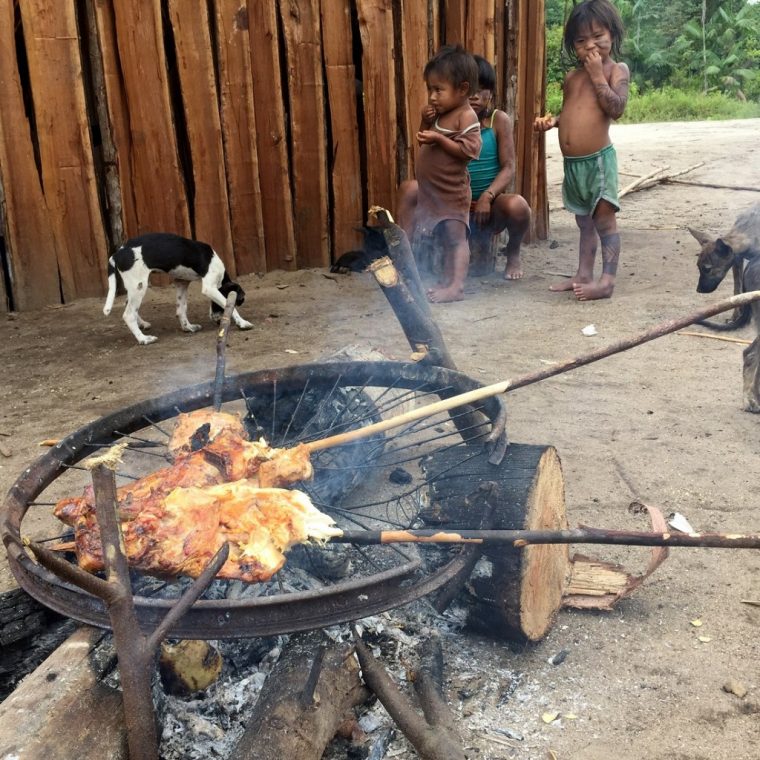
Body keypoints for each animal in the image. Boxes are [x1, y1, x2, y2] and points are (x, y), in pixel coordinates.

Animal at [102, 232, 252, 344]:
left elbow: (181, 309)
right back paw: (143, 339)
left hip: (134, 288)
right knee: (128, 314)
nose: (219, 321)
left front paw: (188, 327)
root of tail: (116, 254)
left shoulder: (182, 283)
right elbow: (229, 305)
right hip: (139, 286)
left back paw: (143, 324)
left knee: (128, 304)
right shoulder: (209, 288)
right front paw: (243, 323)